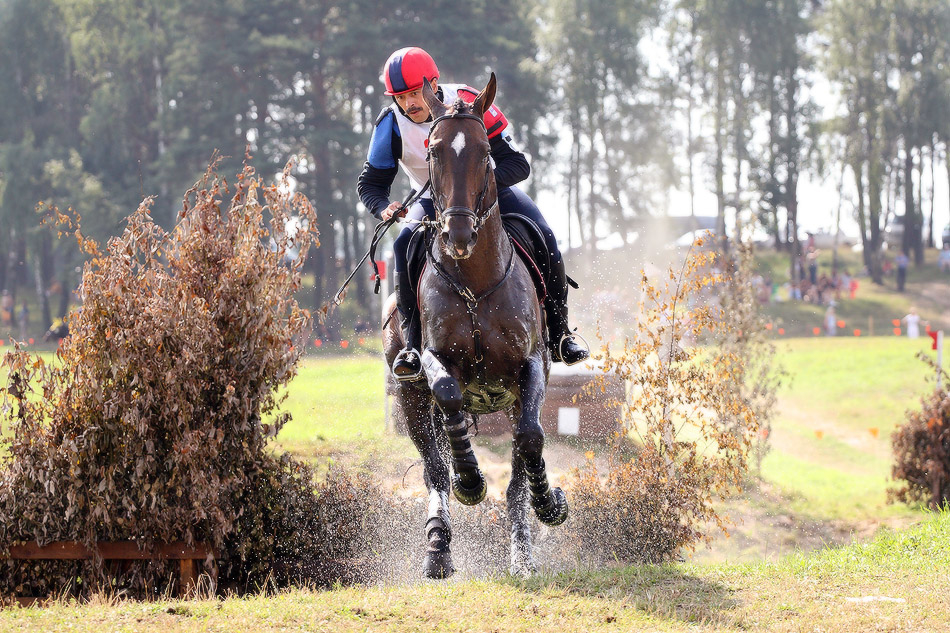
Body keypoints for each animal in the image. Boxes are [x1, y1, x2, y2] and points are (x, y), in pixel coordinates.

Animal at [384, 73, 568, 576]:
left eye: (486, 151)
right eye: (433, 152)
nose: (458, 234)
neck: (475, 281)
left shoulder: (531, 366)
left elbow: (530, 439)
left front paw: (550, 503)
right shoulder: (433, 360)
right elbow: (448, 394)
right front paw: (470, 478)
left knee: (519, 459)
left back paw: (522, 551)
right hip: (409, 399)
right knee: (434, 468)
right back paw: (437, 546)